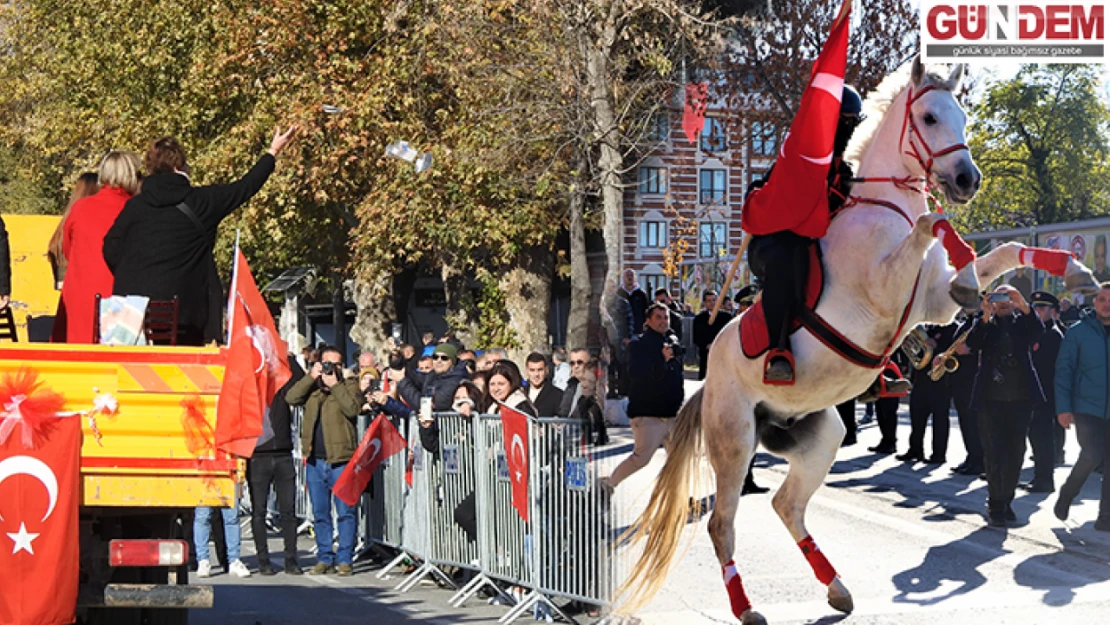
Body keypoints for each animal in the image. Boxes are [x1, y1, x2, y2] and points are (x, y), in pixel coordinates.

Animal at [621, 57, 1096, 625]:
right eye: (930, 117)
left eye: (962, 115)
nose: (967, 178)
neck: (881, 207)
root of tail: (707, 378)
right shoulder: (897, 292)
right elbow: (932, 221)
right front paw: (969, 270)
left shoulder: (931, 302)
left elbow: (1004, 250)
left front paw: (1074, 269)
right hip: (734, 441)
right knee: (723, 522)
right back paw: (747, 606)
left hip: (820, 435)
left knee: (786, 505)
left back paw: (837, 588)